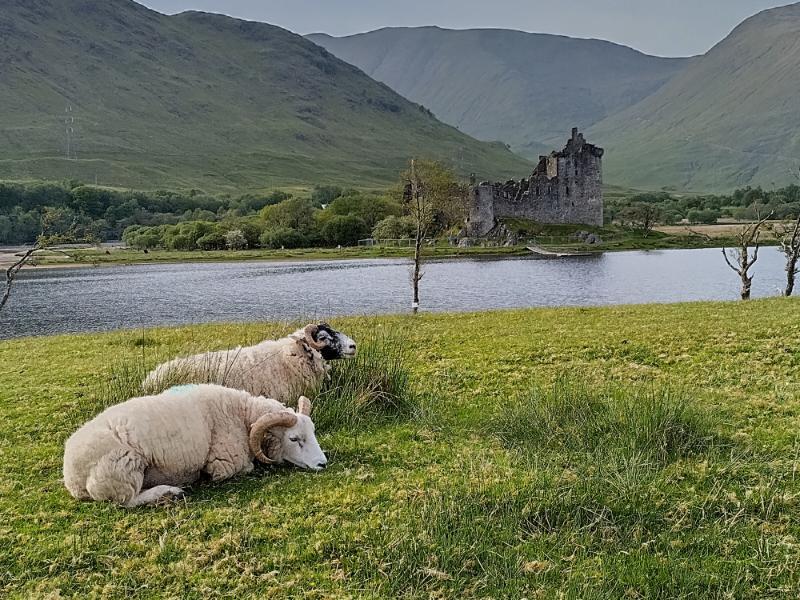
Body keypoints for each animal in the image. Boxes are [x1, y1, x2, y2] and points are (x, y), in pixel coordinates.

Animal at [62, 384, 324, 506]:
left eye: (313, 432)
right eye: (294, 439)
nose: (323, 464)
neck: (241, 414)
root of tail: (71, 478)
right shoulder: (224, 464)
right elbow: (246, 467)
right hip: (124, 469)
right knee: (127, 501)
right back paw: (168, 491)